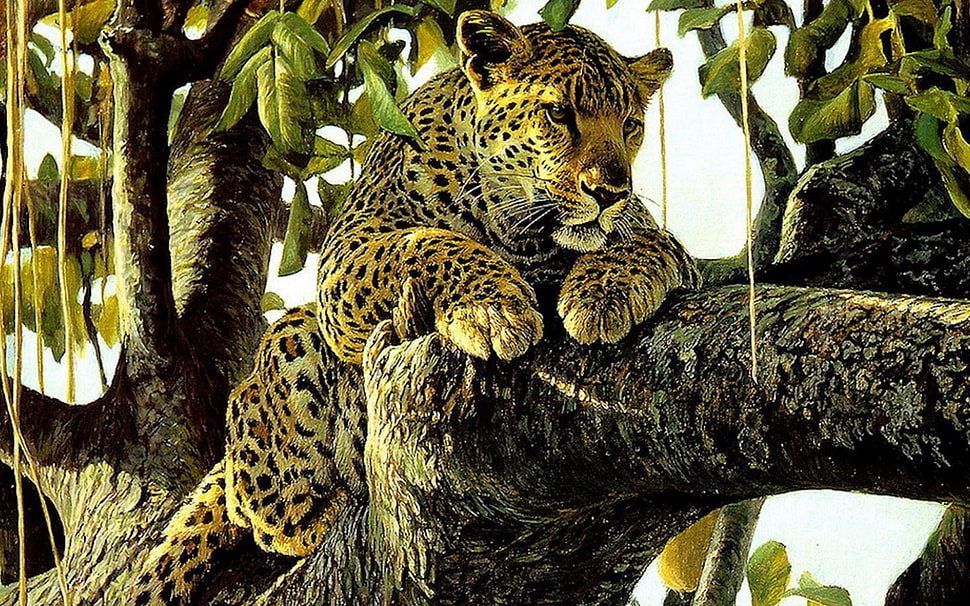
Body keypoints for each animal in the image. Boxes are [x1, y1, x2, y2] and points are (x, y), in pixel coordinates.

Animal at [131, 9, 699, 604]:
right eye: (558, 113)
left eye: (631, 126)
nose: (612, 191)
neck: (520, 232)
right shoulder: (347, 257)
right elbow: (422, 243)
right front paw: (496, 308)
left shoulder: (660, 243)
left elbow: (648, 242)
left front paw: (601, 295)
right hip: (291, 344)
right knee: (259, 505)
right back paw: (326, 509)